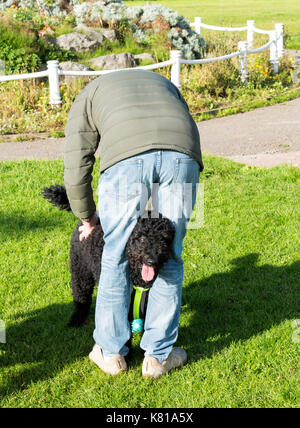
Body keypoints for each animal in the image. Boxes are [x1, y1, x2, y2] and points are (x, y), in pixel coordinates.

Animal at [41, 184, 175, 328]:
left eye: (164, 239)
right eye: (142, 238)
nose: (152, 261)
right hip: (80, 272)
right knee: (81, 297)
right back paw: (77, 319)